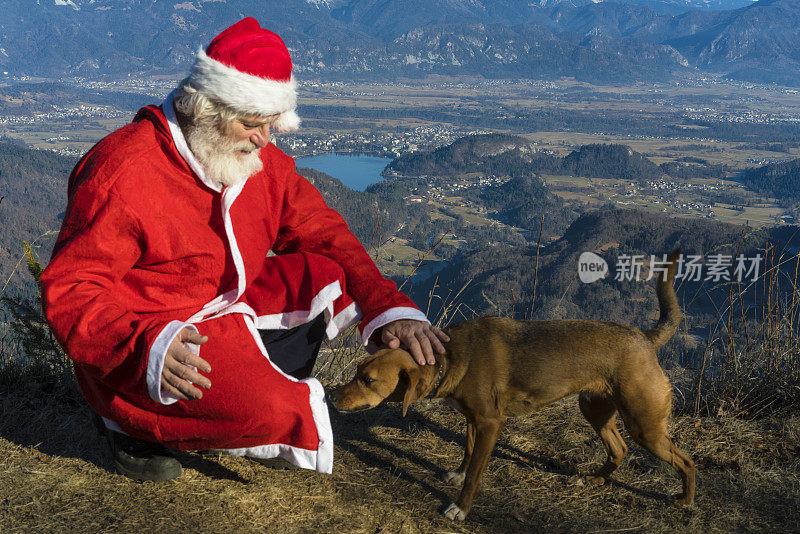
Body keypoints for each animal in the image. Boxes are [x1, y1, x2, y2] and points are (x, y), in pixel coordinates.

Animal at [332, 252, 692, 524]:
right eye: (356, 371)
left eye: (368, 380)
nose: (332, 396)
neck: (451, 356)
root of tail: (645, 337)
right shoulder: (473, 420)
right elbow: (467, 453)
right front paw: (458, 475)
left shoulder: (491, 423)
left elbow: (476, 473)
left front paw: (460, 508)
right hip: (595, 408)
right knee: (619, 449)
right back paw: (595, 479)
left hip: (644, 423)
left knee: (685, 461)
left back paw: (685, 499)